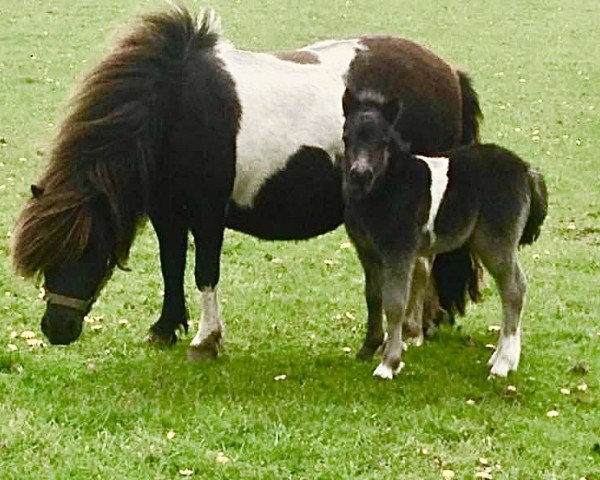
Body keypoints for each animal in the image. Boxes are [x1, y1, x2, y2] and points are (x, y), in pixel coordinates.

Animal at [11, 6, 482, 360]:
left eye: (85, 249)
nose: (56, 328)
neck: (175, 108)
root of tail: (450, 73)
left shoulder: (207, 212)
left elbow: (204, 270)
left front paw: (206, 339)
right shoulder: (168, 212)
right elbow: (171, 265)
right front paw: (166, 328)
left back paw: (412, 330)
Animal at [340, 93, 548, 378]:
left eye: (382, 141)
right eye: (346, 137)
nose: (360, 175)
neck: (387, 187)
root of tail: (526, 170)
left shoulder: (399, 251)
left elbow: (395, 303)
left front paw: (389, 364)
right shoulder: (368, 252)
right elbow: (374, 296)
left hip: (496, 242)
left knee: (514, 289)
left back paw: (503, 363)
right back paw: (500, 358)